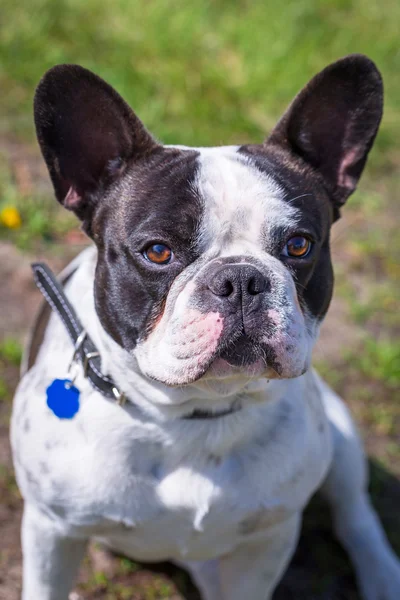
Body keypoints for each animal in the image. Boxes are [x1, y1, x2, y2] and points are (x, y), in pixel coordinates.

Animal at [10, 54, 400, 596]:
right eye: (157, 251)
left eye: (299, 245)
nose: (240, 278)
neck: (193, 416)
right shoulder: (52, 531)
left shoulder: (268, 540)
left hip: (340, 432)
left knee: (354, 511)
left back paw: (383, 574)